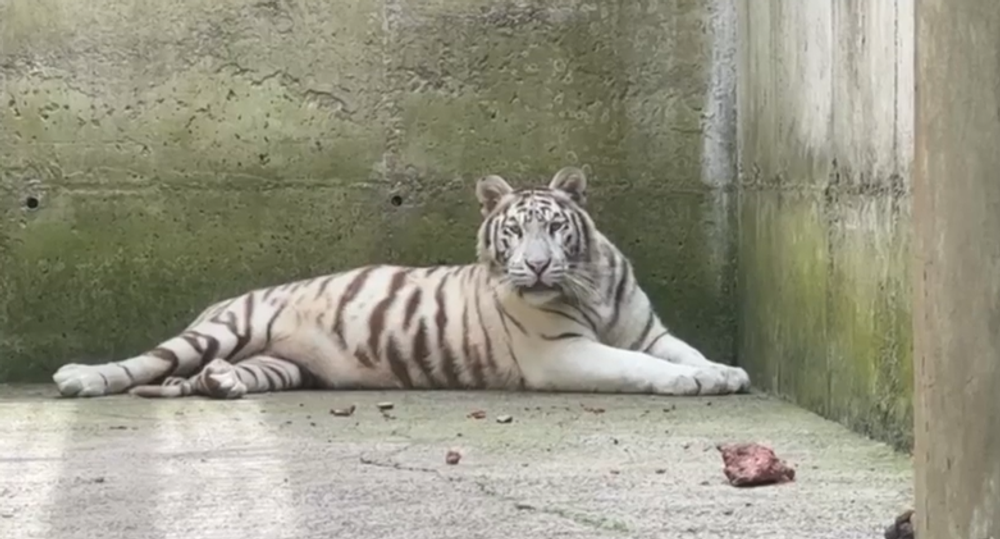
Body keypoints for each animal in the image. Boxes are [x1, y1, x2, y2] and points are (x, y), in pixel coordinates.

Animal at [52, 166, 751, 399]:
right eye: (514, 232)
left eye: (554, 228)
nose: (537, 266)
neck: (589, 286)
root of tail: (225, 297)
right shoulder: (561, 353)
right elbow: (639, 366)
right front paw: (693, 383)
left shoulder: (649, 330)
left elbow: (682, 350)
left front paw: (723, 371)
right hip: (224, 330)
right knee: (146, 363)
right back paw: (81, 378)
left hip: (281, 364)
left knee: (216, 377)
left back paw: (221, 385)